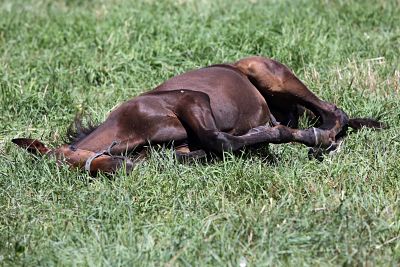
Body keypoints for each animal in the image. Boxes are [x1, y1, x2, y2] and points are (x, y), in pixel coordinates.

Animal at [12, 56, 384, 176]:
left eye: (73, 157)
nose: (124, 169)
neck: (130, 127)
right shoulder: (178, 144)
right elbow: (200, 150)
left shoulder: (193, 101)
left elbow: (221, 140)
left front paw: (271, 140)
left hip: (266, 71)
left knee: (334, 112)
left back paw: (322, 141)